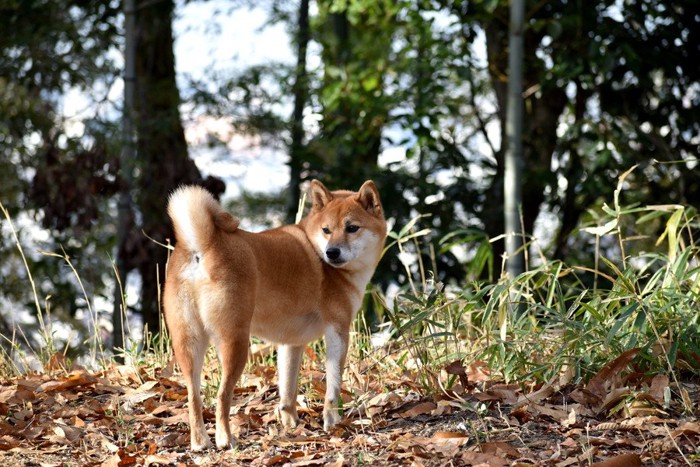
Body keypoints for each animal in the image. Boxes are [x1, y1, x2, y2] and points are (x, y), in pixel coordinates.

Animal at [162, 179, 386, 450]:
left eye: (352, 228)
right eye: (327, 230)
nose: (332, 252)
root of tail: (203, 245)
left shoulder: (291, 343)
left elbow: (287, 390)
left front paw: (291, 424)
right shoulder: (338, 331)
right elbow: (333, 386)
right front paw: (332, 422)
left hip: (188, 343)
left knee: (193, 396)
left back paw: (200, 442)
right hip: (235, 342)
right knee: (222, 396)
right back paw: (226, 439)